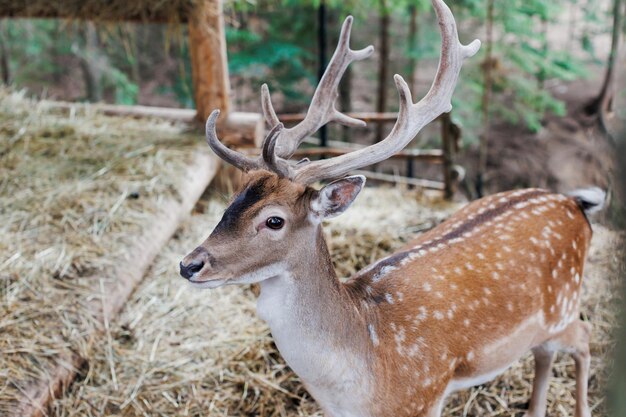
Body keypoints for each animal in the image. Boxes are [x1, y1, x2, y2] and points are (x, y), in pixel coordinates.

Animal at [178, 1, 604, 414]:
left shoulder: (422, 398)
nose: (189, 264)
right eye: (231, 202)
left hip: (564, 307)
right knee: (545, 353)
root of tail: (573, 204)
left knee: (585, 335)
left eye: (273, 220)